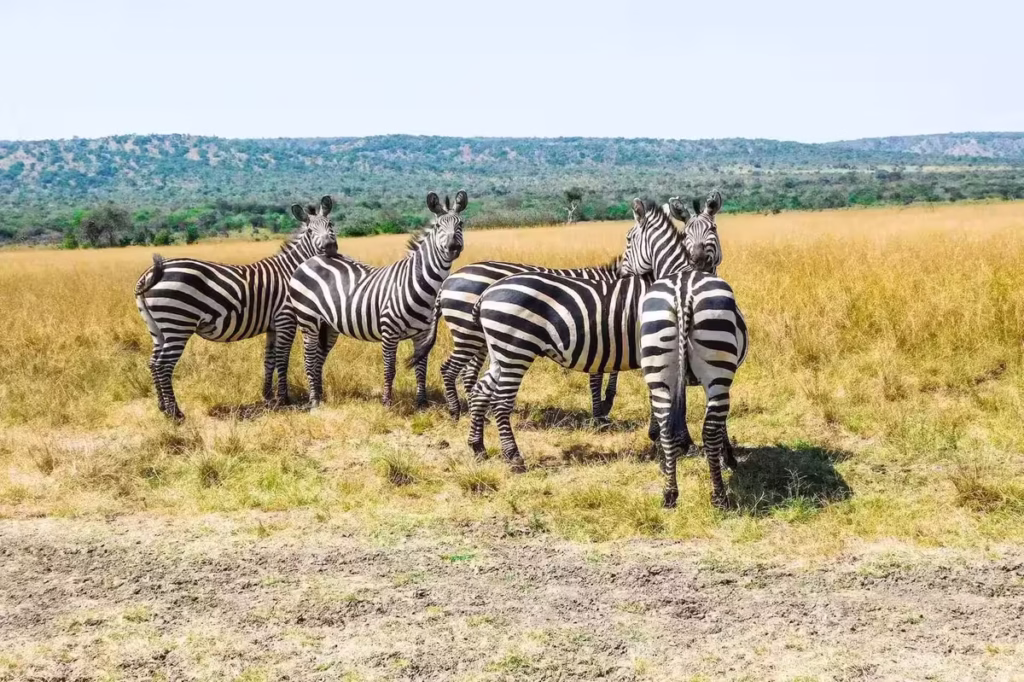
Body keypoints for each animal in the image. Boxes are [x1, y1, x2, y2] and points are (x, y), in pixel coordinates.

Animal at [134, 196, 338, 420]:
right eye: (310, 231)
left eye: (331, 225)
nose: (330, 247)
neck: (292, 271)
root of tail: (152, 272)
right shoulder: (286, 319)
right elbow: (282, 359)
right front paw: (284, 399)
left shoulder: (272, 326)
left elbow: (269, 360)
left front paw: (268, 395)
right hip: (178, 323)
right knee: (163, 365)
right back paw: (175, 414)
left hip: (157, 328)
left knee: (153, 363)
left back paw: (162, 408)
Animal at [286, 191, 467, 408]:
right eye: (439, 226)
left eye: (461, 224)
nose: (453, 247)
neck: (418, 282)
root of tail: (311, 259)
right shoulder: (389, 332)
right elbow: (390, 369)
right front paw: (387, 403)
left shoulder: (422, 334)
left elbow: (421, 368)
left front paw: (422, 402)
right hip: (308, 320)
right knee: (309, 358)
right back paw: (314, 401)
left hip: (328, 325)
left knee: (318, 359)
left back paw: (320, 396)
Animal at [408, 200, 694, 422]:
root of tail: (450, 280)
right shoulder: (603, 328)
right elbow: (598, 375)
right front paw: (599, 411)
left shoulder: (610, 330)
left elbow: (610, 370)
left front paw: (605, 405)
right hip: (470, 334)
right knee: (453, 370)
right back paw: (457, 412)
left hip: (481, 339)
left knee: (469, 374)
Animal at [464, 199, 719, 472]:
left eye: (627, 239)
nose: (621, 274)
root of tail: (488, 292)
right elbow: (666, 397)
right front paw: (674, 440)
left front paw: (663, 438)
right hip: (515, 351)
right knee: (501, 403)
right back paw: (513, 457)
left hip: (501, 353)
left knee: (480, 392)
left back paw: (478, 447)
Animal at [624, 196, 749, 509]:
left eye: (629, 239)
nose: (622, 271)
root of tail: (682, 290)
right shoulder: (720, 378)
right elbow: (720, 425)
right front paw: (728, 458)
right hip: (718, 374)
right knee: (710, 429)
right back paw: (718, 495)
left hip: (658, 370)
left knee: (667, 425)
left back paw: (670, 493)